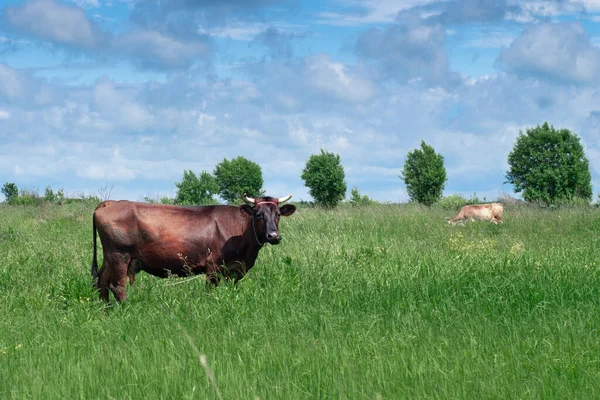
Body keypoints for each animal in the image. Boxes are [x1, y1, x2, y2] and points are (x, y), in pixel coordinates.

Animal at [91, 195, 296, 302]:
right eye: (259, 215)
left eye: (278, 215)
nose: (273, 236)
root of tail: (111, 202)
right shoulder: (213, 267)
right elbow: (210, 291)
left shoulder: (236, 269)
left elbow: (232, 289)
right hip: (120, 255)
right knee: (118, 287)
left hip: (110, 256)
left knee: (101, 281)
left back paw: (106, 312)